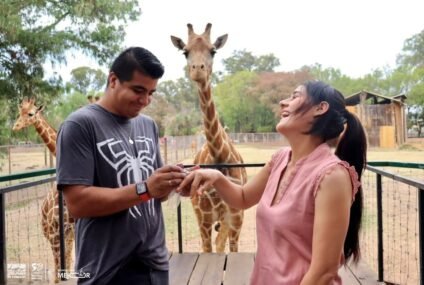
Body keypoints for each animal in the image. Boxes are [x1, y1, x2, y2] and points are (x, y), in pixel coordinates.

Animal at [171, 23, 247, 252]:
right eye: (185, 52)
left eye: (213, 50)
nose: (197, 70)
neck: (219, 156)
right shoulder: (203, 220)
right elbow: (209, 250)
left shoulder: (236, 219)